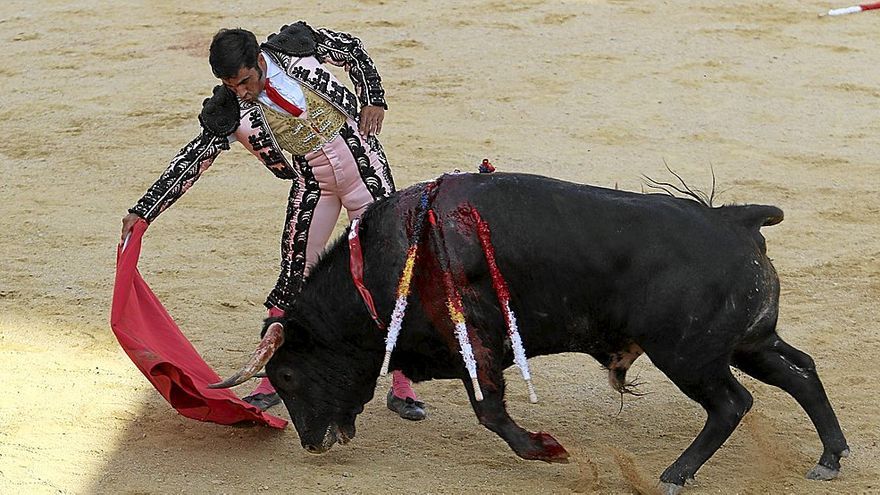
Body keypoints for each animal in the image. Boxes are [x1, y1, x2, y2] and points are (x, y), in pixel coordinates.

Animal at [211, 173, 844, 492]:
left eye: (289, 375)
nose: (312, 443)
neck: (390, 263)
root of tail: (736, 220)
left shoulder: (475, 343)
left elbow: (491, 412)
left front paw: (547, 450)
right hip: (748, 343)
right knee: (802, 373)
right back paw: (831, 457)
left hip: (690, 356)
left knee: (732, 404)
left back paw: (674, 475)